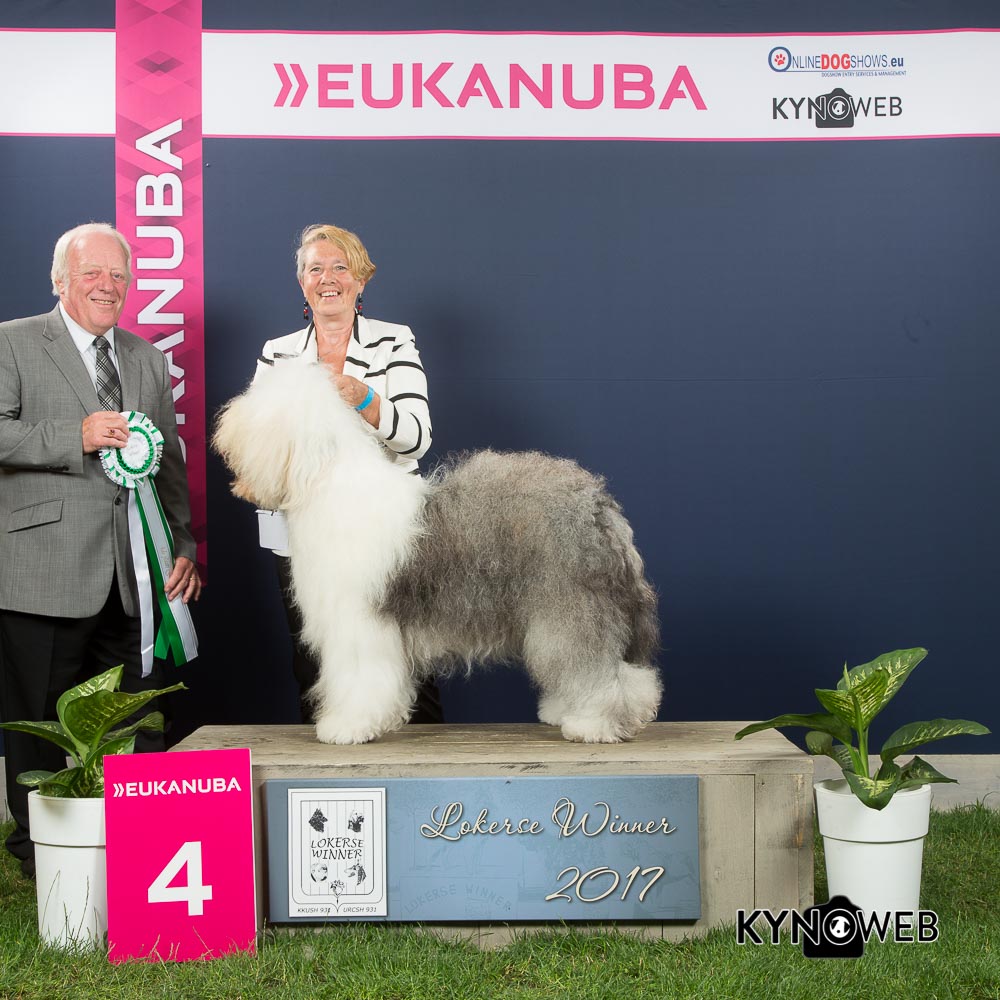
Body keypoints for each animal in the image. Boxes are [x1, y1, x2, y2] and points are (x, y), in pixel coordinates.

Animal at [212, 359, 662, 745]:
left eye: (258, 402)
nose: (223, 423)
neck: (325, 481)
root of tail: (599, 506)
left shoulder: (358, 621)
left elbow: (358, 677)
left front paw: (348, 726)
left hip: (570, 605)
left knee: (593, 664)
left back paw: (594, 723)